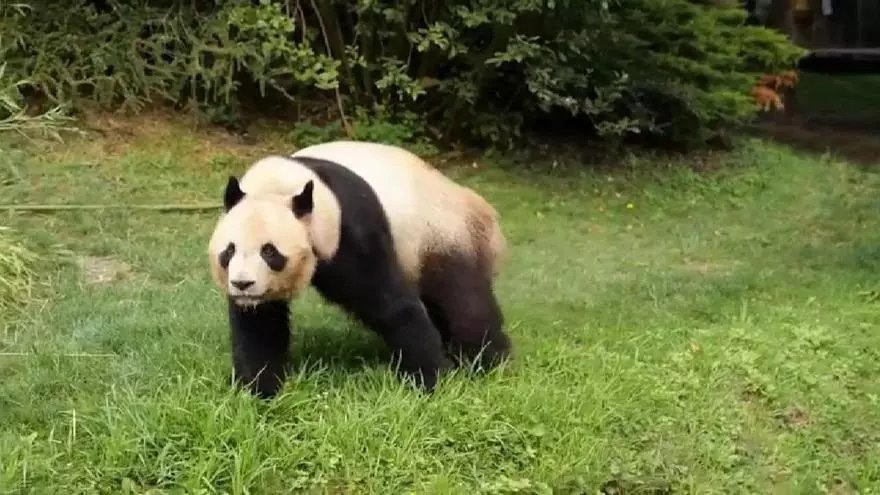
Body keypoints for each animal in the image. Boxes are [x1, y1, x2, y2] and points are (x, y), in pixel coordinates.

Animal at [207, 140, 512, 398]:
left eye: (269, 252)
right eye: (229, 251)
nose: (242, 284)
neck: (277, 187)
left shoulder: (347, 226)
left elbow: (390, 303)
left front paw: (430, 379)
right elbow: (260, 325)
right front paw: (259, 389)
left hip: (442, 235)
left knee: (464, 302)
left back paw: (489, 362)